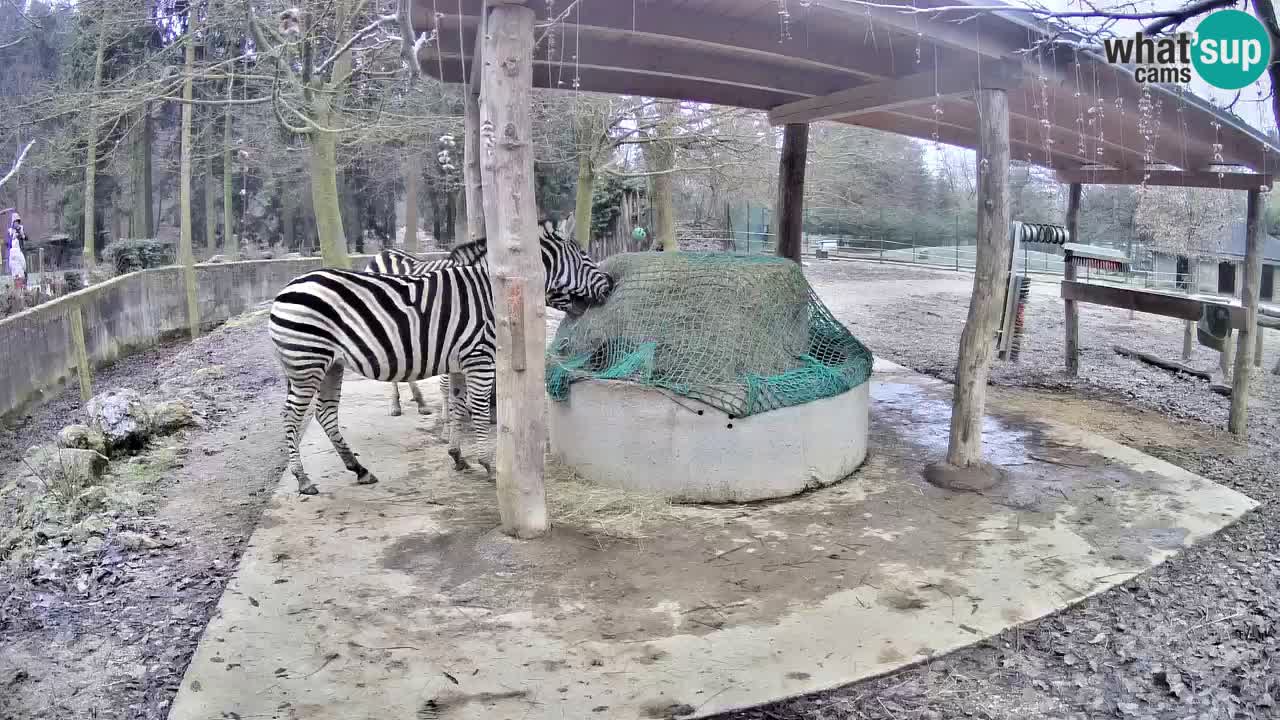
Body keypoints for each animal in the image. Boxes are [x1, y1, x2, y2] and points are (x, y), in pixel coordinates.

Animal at [267, 220, 611, 491]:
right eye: (583, 256)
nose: (610, 283)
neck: (491, 292)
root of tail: (285, 289)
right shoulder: (479, 358)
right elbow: (479, 411)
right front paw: (488, 464)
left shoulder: (459, 363)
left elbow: (459, 406)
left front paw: (457, 456)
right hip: (308, 363)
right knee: (291, 415)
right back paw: (303, 479)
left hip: (331, 365)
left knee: (325, 413)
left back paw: (359, 469)